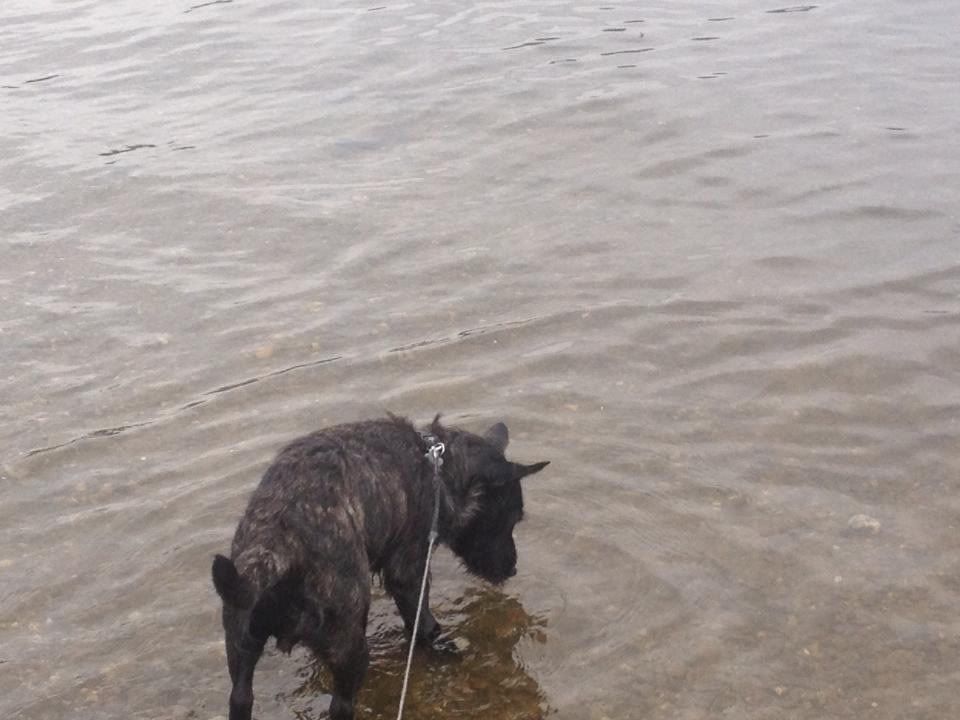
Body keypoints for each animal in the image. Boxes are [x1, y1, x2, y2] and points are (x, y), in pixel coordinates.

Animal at [214, 414, 552, 720]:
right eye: (510, 520)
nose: (513, 568)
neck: (439, 471)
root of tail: (277, 547)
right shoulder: (409, 573)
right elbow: (422, 620)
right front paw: (441, 645)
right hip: (351, 650)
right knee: (340, 706)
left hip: (240, 647)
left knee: (240, 698)